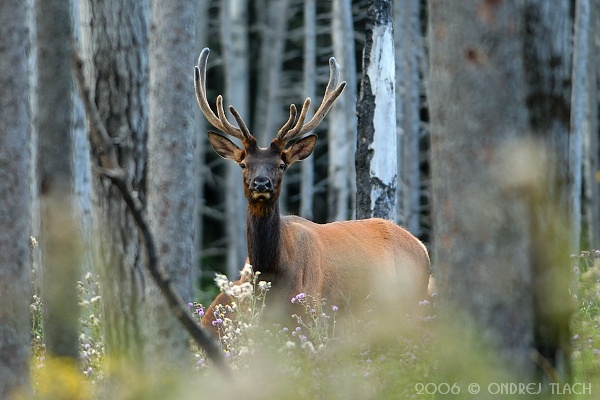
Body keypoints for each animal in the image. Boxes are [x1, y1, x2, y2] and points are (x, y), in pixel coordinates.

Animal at [195, 48, 428, 340]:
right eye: (243, 163)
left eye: (281, 165)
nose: (261, 184)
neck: (272, 271)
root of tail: (423, 248)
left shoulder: (311, 310)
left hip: (412, 304)